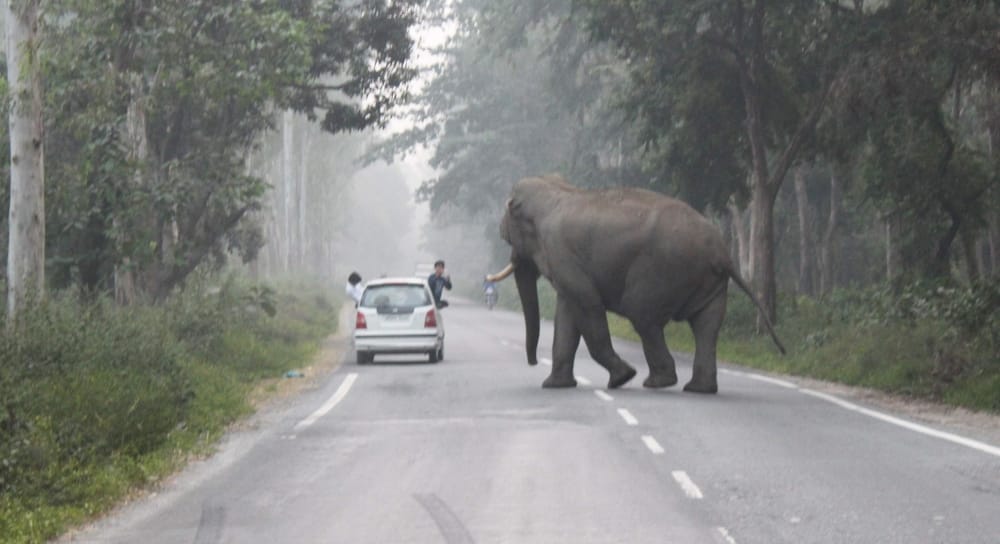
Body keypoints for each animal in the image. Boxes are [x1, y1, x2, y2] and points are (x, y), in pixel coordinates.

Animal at [487, 174, 785, 393]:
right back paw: (698, 388)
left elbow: (587, 305)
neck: (556, 190)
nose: (533, 361)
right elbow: (568, 313)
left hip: (662, 271)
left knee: (642, 315)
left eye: (507, 236)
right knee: (706, 325)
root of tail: (721, 252)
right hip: (710, 282)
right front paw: (554, 385)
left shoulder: (560, 250)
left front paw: (621, 378)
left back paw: (657, 382)